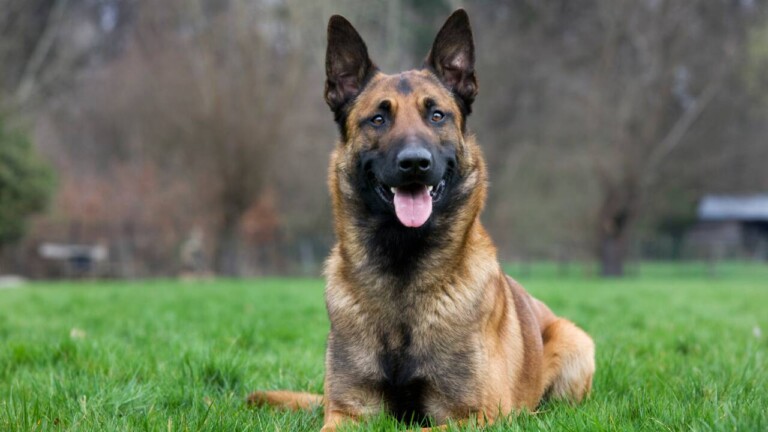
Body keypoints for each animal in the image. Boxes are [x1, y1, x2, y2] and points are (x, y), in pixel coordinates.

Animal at [249, 8, 596, 430]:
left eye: (436, 115)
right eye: (378, 119)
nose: (415, 163)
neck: (403, 268)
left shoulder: (475, 416)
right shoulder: (346, 412)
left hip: (576, 342)